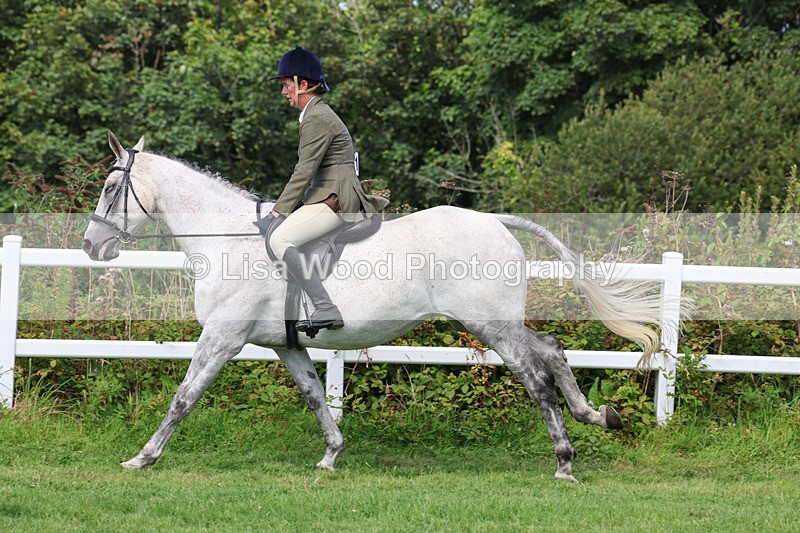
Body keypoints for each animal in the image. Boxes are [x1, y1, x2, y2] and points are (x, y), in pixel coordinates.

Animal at [82, 132, 667, 482]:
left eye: (110, 187)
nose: (91, 247)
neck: (230, 240)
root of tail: (495, 221)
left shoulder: (224, 337)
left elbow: (183, 399)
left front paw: (142, 457)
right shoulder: (284, 345)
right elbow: (315, 396)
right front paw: (331, 455)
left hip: (490, 324)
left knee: (537, 375)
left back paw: (565, 462)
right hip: (498, 322)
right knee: (553, 349)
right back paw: (597, 415)